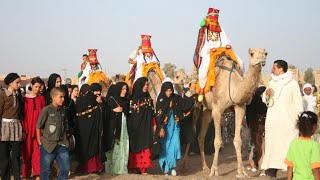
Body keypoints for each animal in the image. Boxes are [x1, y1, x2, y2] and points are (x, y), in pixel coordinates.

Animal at [195, 47, 268, 177]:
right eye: (252, 53)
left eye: (266, 53)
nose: (262, 59)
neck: (233, 86)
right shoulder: (217, 110)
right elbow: (217, 141)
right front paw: (214, 170)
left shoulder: (239, 108)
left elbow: (238, 140)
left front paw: (241, 171)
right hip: (198, 105)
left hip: (207, 110)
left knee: (200, 137)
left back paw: (205, 167)